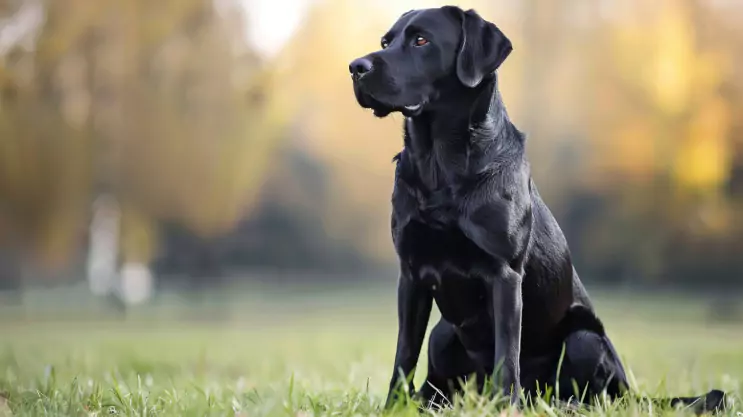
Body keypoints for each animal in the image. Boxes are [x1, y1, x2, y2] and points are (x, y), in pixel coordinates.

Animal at [348, 4, 728, 412]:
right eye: (386, 41)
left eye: (421, 40)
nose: (356, 66)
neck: (440, 164)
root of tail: (634, 393)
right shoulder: (412, 274)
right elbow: (404, 354)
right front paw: (393, 407)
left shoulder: (504, 273)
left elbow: (506, 353)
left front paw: (505, 407)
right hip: (443, 333)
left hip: (584, 339)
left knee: (593, 394)